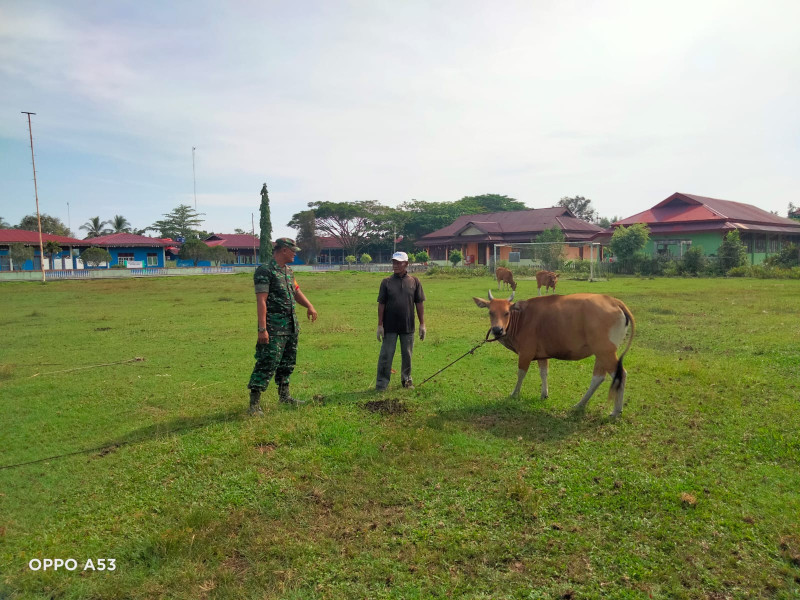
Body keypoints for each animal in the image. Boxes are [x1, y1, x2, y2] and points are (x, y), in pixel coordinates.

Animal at [472, 290, 636, 418]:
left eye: (507, 313)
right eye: (490, 312)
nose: (497, 330)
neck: (522, 318)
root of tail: (614, 301)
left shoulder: (525, 354)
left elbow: (521, 374)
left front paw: (514, 394)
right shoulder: (542, 355)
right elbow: (544, 372)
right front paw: (544, 394)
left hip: (605, 351)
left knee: (620, 374)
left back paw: (616, 411)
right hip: (601, 353)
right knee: (598, 377)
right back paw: (580, 404)